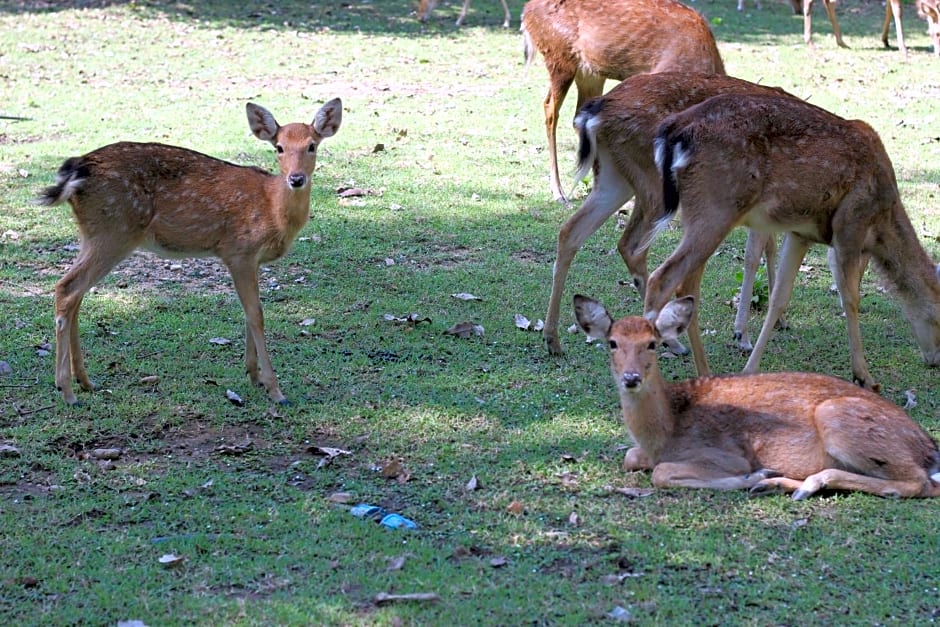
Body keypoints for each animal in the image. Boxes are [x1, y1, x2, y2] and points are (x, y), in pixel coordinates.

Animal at [38, 99, 346, 408]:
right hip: (113, 232)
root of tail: (77, 170)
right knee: (67, 289)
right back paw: (67, 390)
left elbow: (248, 313)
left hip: (92, 235)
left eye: (311, 145)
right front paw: (275, 390)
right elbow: (256, 314)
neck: (272, 208)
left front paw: (254, 376)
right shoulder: (238, 251)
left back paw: (84, 381)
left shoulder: (252, 260)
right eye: (279, 147)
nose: (296, 178)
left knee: (75, 293)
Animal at [516, 0, 724, 204]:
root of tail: (527, 11)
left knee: (578, 117)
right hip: (559, 57)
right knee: (550, 108)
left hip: (590, 73)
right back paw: (558, 192)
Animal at [544, 72, 792, 358]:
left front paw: (778, 320)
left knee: (570, 231)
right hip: (654, 184)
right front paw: (744, 335)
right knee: (631, 246)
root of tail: (597, 109)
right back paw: (672, 342)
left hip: (613, 178)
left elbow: (769, 249)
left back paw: (552, 339)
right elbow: (756, 255)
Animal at [572, 294, 940, 500]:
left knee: (919, 483)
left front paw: (750, 476)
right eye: (612, 343)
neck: (665, 431)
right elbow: (631, 457)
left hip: (838, 419)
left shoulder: (724, 454)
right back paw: (777, 484)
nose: (631, 378)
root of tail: (928, 447)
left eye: (651, 343)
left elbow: (661, 473)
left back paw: (798, 483)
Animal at [648, 91, 940, 392]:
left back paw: (704, 372)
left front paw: (750, 369)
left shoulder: (801, 234)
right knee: (663, 278)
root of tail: (675, 130)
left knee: (687, 285)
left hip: (699, 213)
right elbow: (851, 298)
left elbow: (779, 297)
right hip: (717, 207)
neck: (881, 223)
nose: (935, 361)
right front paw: (864, 376)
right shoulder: (850, 225)